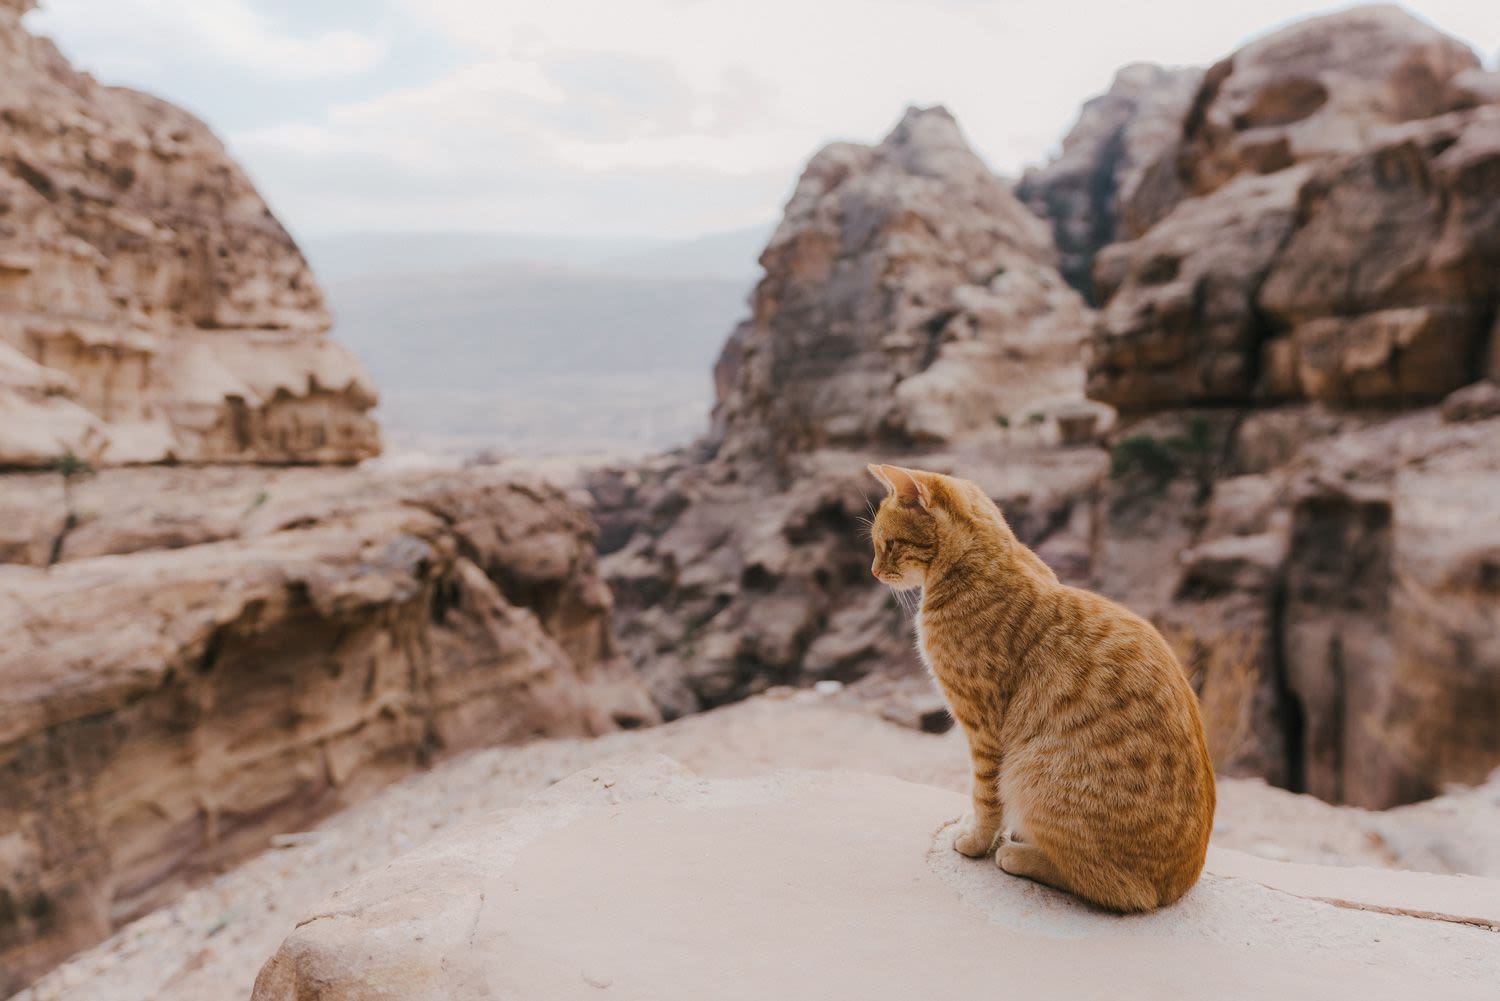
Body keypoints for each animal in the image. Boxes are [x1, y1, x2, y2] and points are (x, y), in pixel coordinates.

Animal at [870, 465, 1218, 912]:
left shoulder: (983, 730)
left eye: (889, 544)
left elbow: (985, 797)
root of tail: (1179, 886)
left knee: (1116, 889)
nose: (874, 572)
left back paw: (1020, 855)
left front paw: (977, 840)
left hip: (1030, 774)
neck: (983, 563)